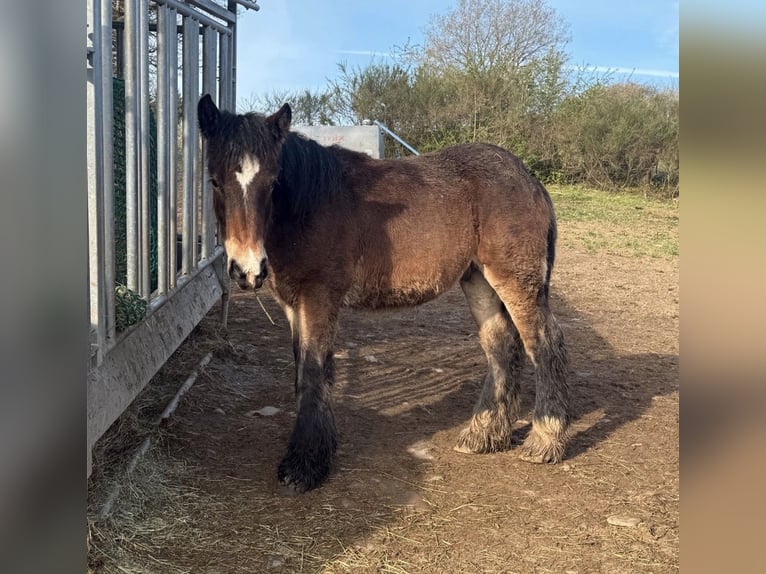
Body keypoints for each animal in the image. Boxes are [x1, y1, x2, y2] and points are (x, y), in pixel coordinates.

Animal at [198, 94, 570, 493]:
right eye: (215, 181)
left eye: (272, 182)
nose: (248, 270)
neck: (310, 203)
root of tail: (527, 177)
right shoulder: (292, 303)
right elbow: (301, 373)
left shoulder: (319, 297)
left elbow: (314, 371)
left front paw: (305, 465)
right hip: (478, 279)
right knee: (501, 343)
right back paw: (484, 434)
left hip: (516, 281)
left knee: (544, 343)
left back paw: (544, 440)